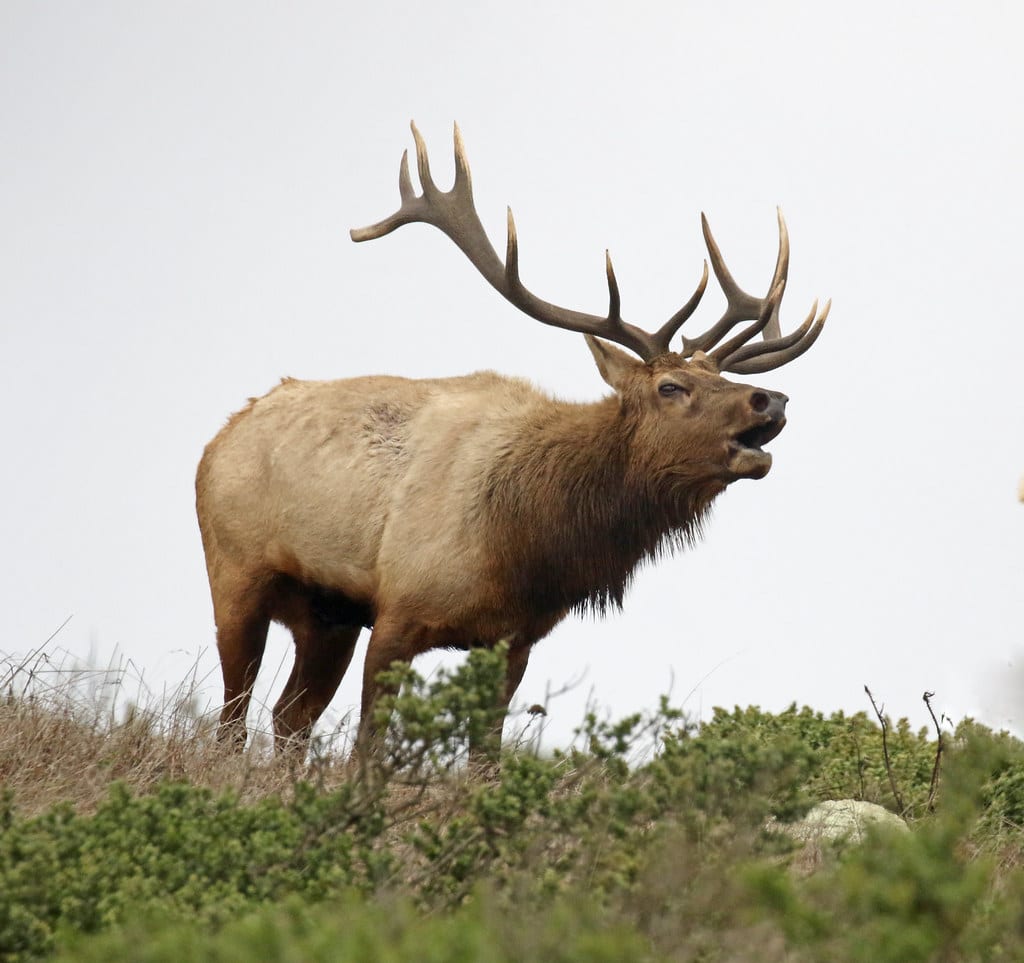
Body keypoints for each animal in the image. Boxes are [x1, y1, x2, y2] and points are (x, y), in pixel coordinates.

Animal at [196, 122, 830, 756]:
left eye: (722, 379)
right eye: (671, 387)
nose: (771, 399)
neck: (525, 544)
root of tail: (218, 440)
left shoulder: (513, 642)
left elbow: (487, 760)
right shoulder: (399, 609)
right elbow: (368, 750)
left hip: (327, 615)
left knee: (289, 718)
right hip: (235, 573)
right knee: (233, 718)